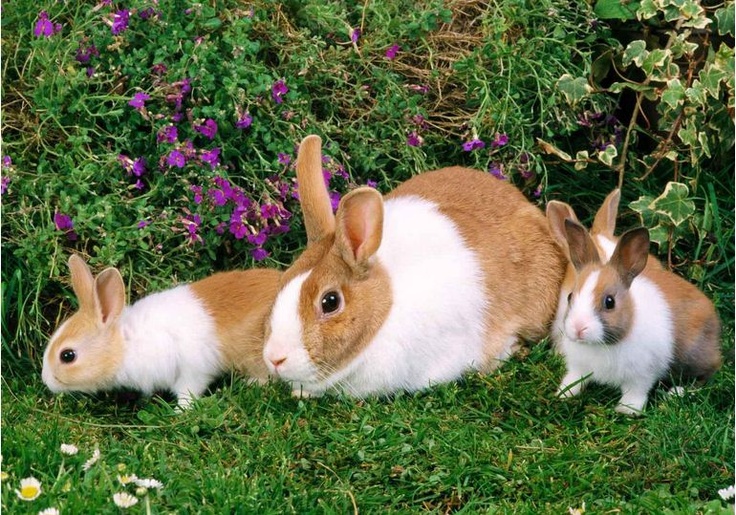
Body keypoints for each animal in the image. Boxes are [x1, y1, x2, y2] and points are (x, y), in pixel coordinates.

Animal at [42, 256, 282, 410]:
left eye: (67, 356)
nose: (46, 382)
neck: (126, 343)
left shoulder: (192, 371)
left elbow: (188, 392)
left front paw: (180, 412)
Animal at [548, 203, 720, 416]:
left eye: (610, 302)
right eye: (570, 296)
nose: (579, 328)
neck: (602, 344)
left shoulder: (642, 374)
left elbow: (635, 392)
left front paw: (626, 410)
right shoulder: (578, 367)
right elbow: (574, 379)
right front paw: (563, 394)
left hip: (693, 355)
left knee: (708, 374)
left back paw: (676, 392)